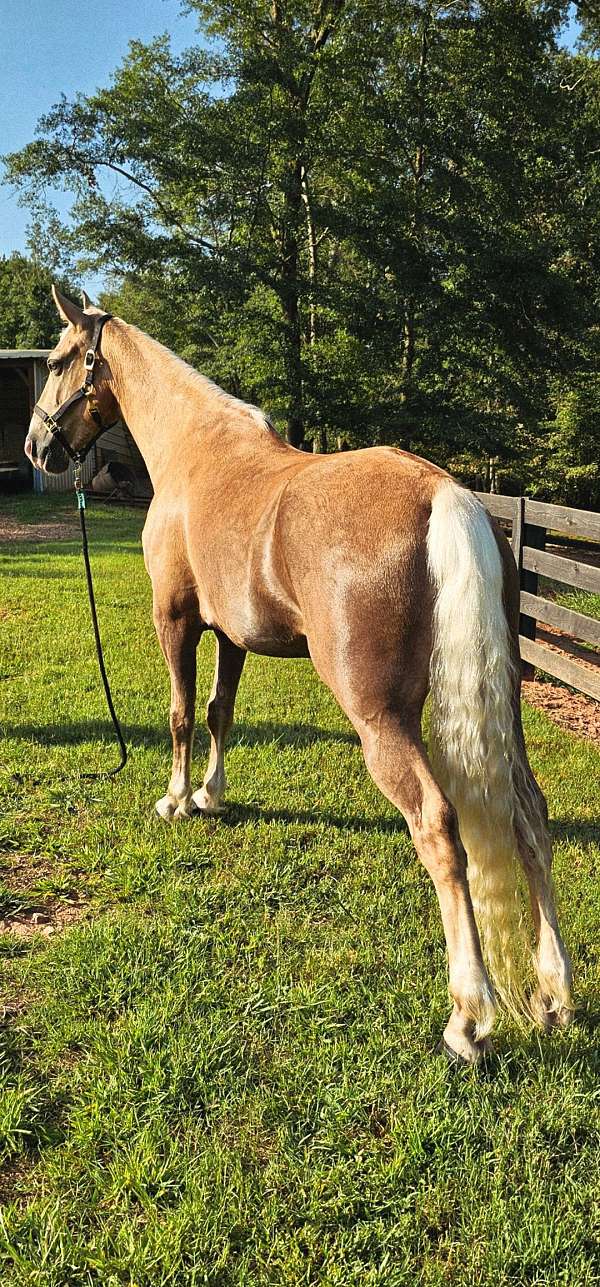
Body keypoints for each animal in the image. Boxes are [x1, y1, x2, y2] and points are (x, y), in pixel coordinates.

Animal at [24, 286, 573, 1064]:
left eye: (56, 361)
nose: (36, 447)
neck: (198, 453)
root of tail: (445, 494)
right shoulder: (232, 634)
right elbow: (220, 712)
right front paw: (211, 796)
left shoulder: (175, 618)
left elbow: (182, 713)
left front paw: (175, 799)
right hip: (507, 710)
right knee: (531, 815)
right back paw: (555, 996)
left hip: (380, 720)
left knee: (439, 827)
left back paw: (468, 1017)